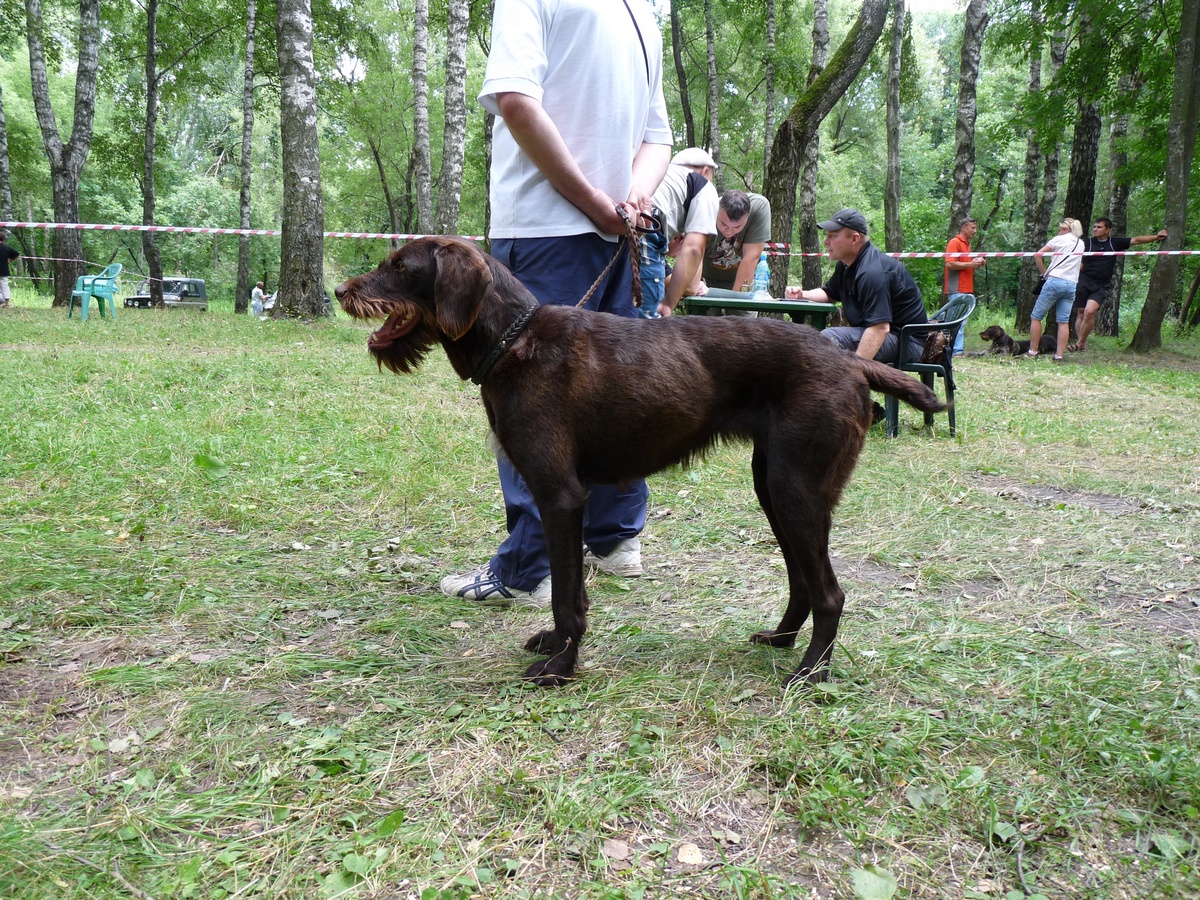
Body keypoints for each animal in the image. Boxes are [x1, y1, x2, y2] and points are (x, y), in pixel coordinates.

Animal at [336, 237, 945, 689]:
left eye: (399, 266)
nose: (341, 289)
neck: (514, 343)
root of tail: (850, 363)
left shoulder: (559, 495)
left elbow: (565, 596)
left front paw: (559, 667)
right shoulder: (564, 500)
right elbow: (569, 590)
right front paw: (556, 649)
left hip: (797, 489)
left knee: (830, 592)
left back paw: (810, 672)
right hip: (774, 488)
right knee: (802, 579)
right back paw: (780, 640)